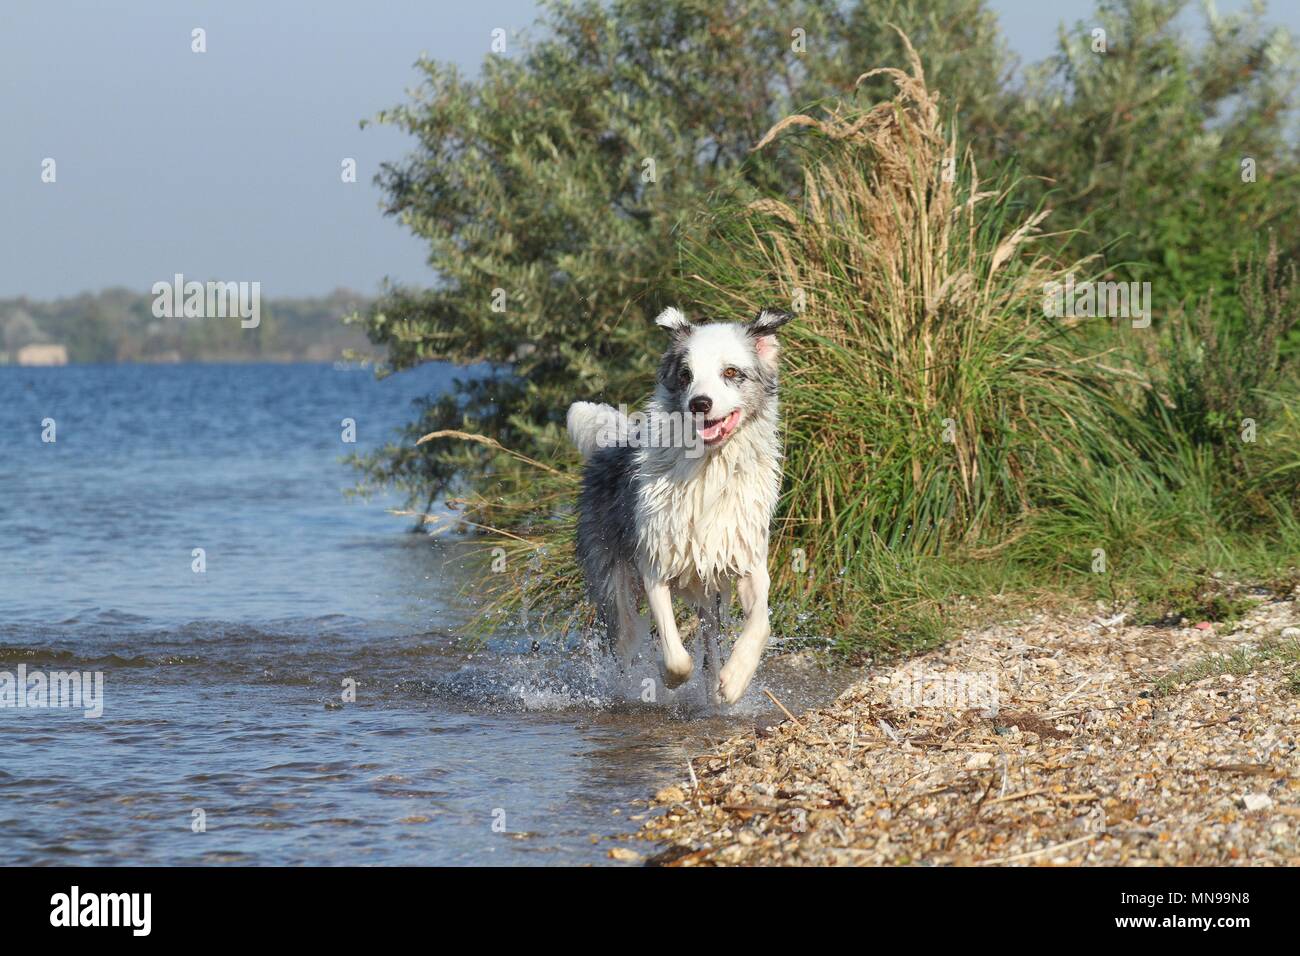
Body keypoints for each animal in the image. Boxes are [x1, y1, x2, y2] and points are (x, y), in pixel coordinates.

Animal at [566, 306, 790, 702]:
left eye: (730, 372)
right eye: (686, 375)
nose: (700, 404)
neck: (709, 468)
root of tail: (612, 443)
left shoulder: (746, 559)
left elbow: (761, 623)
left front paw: (735, 679)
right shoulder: (655, 562)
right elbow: (675, 654)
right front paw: (669, 678)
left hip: (709, 594)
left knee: (710, 638)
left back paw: (715, 686)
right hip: (610, 576)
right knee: (625, 635)